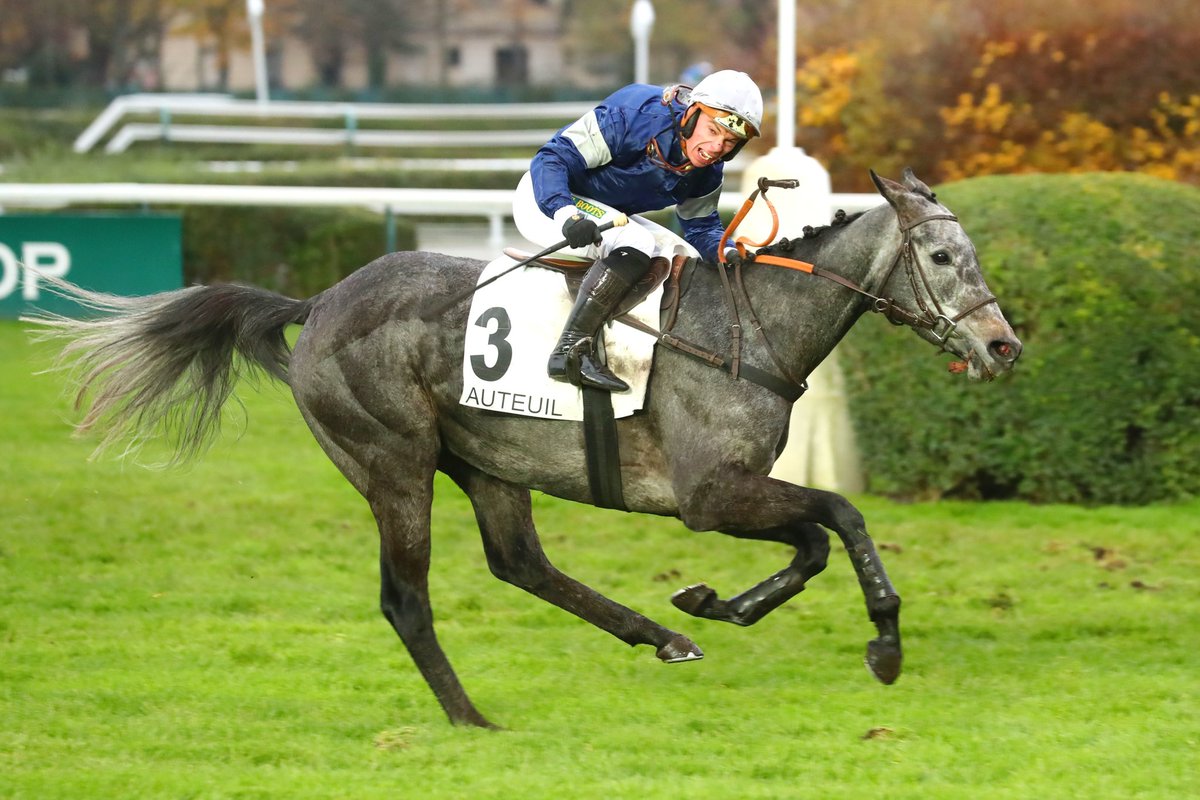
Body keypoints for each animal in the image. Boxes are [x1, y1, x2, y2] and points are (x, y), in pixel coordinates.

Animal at [30, 172, 1022, 729]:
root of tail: (318, 303)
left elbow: (813, 542)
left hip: (488, 463)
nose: (1003, 345)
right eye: (942, 257)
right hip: (393, 464)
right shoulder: (711, 494)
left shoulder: (733, 492)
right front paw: (885, 640)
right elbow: (839, 516)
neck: (752, 330)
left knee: (520, 564)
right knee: (406, 599)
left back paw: (661, 636)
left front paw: (712, 604)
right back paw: (469, 718)